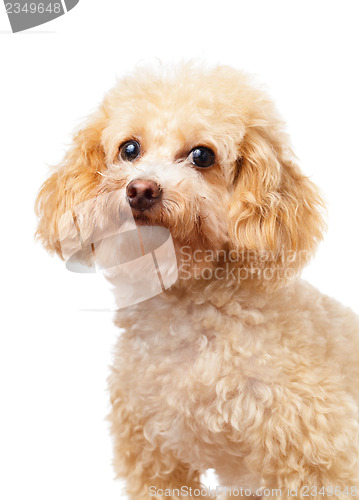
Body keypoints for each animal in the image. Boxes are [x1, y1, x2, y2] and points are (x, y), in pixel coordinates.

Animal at [35, 63, 359, 500]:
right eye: (129, 149)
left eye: (202, 155)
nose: (141, 189)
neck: (188, 315)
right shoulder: (155, 458)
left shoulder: (319, 453)